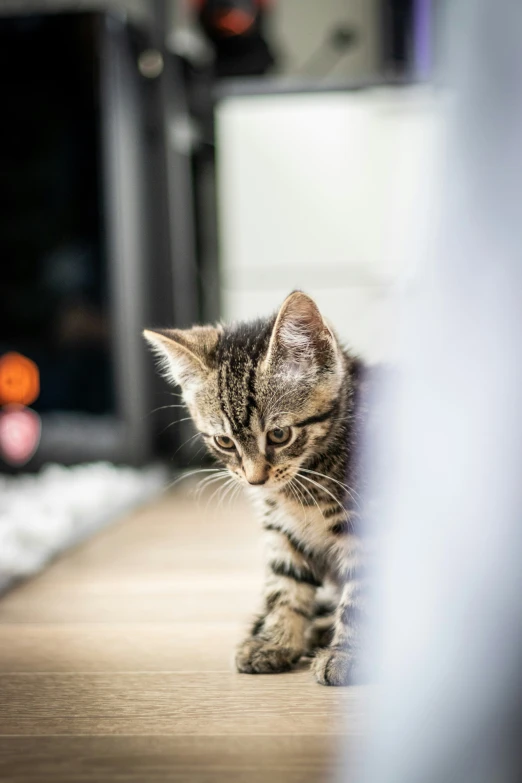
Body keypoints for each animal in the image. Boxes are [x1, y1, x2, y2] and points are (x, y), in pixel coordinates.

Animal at [144, 290, 368, 684]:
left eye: (279, 435)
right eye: (224, 442)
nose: (255, 479)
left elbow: (361, 594)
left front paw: (348, 654)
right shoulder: (282, 529)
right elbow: (284, 585)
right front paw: (275, 642)